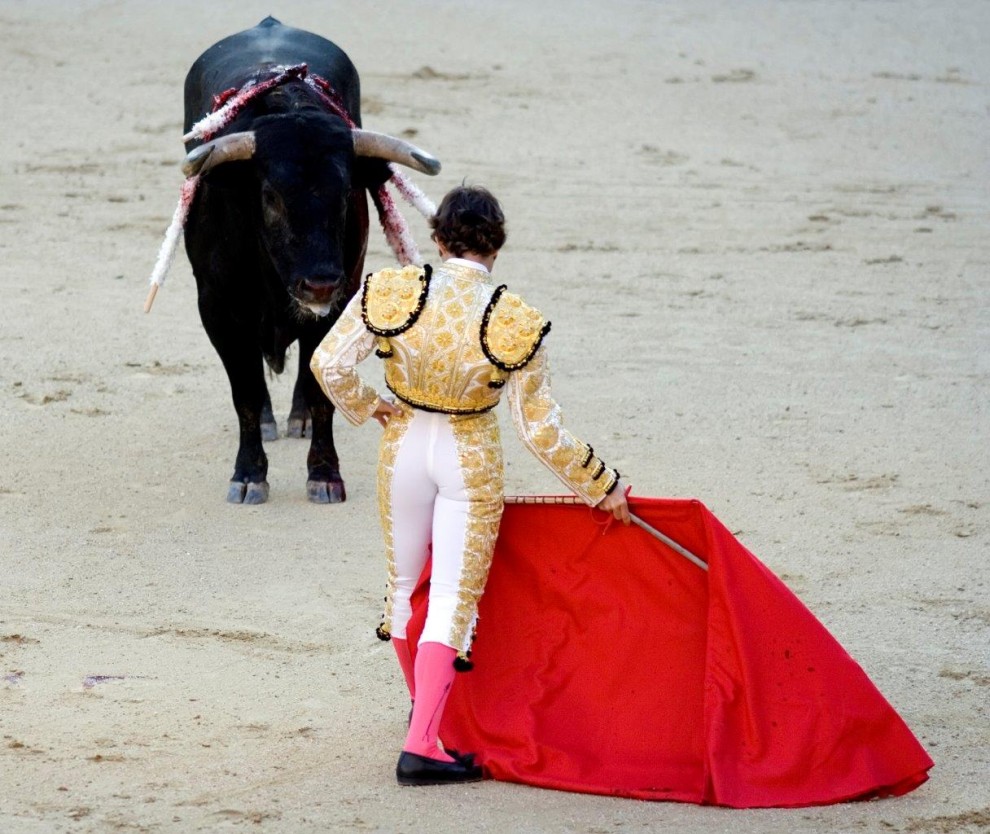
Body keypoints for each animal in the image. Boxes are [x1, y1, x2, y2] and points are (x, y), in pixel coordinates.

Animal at [179, 17, 442, 500]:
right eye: (269, 196)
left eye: (346, 194)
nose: (319, 282)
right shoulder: (217, 309)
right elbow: (245, 393)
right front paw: (249, 475)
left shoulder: (343, 297)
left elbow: (322, 388)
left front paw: (324, 474)